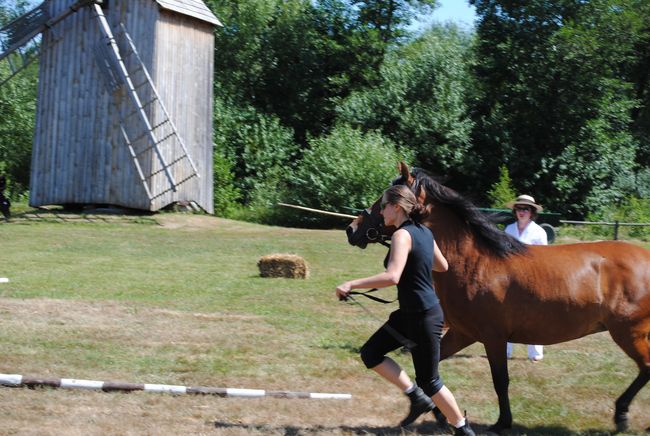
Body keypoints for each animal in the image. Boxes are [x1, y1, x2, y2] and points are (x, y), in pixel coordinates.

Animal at [346, 163, 648, 432]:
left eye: (385, 199)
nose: (352, 229)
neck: (475, 263)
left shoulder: (493, 337)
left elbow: (500, 380)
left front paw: (502, 422)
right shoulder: (462, 333)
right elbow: (431, 374)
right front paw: (432, 414)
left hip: (629, 332)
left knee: (645, 367)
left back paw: (621, 415)